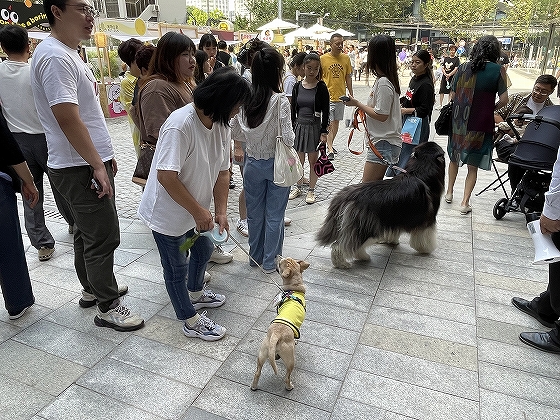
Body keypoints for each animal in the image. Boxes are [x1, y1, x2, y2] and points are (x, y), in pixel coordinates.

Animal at [250, 254, 308, 392]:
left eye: (281, 260)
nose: (277, 255)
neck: (294, 287)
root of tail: (276, 335)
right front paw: (296, 340)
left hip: (262, 353)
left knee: (257, 372)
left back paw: (254, 386)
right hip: (291, 360)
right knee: (287, 377)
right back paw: (289, 387)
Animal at [318, 142, 444, 270]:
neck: (419, 172)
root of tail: (345, 196)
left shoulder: (394, 217)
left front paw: (391, 241)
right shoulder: (428, 219)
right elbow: (426, 237)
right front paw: (425, 249)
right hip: (366, 227)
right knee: (342, 246)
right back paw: (346, 262)